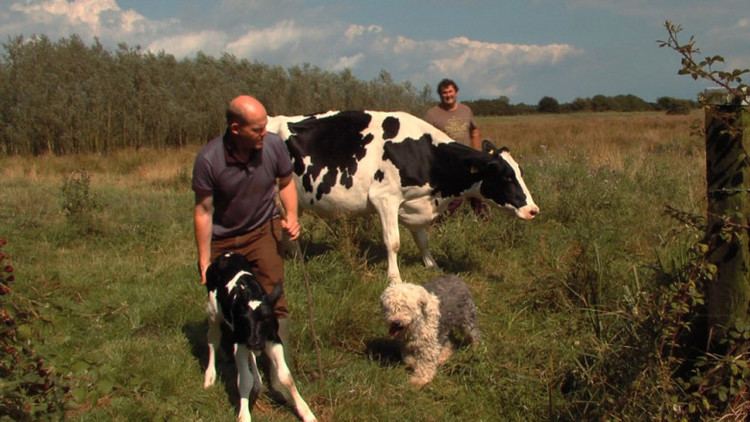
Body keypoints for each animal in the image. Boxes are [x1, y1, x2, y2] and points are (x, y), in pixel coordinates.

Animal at [203, 252, 318, 422]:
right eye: (244, 320)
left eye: (266, 319)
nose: (255, 342)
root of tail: (226, 254)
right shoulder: (240, 341)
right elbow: (244, 379)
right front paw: (244, 415)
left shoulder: (273, 339)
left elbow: (286, 376)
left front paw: (306, 412)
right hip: (213, 312)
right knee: (212, 342)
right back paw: (209, 377)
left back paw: (258, 381)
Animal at [270, 111, 540, 284]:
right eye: (506, 177)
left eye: (520, 171)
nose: (533, 210)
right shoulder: (385, 199)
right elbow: (393, 242)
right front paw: (394, 278)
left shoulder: (415, 206)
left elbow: (423, 240)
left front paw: (432, 266)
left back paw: (295, 260)